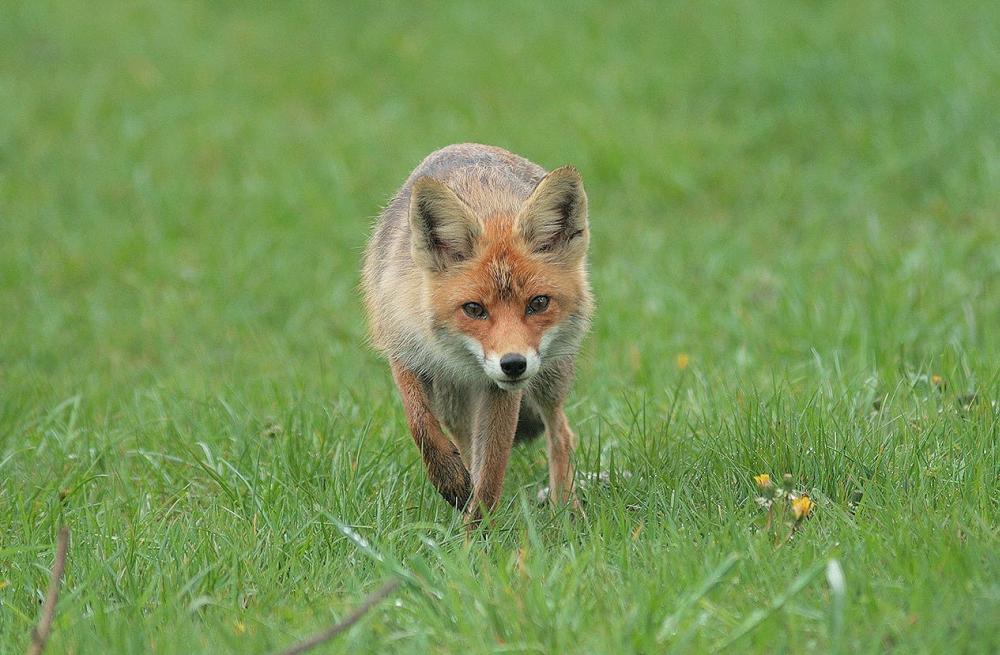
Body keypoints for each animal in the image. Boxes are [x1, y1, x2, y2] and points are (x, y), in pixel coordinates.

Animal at [362, 144, 588, 528]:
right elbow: (420, 426)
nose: (513, 364)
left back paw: (566, 511)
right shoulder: (404, 347)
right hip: (451, 399)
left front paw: (475, 536)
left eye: (538, 303)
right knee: (464, 443)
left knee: (561, 433)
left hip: (549, 379)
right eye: (474, 309)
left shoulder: (500, 391)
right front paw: (451, 482)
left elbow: (492, 472)